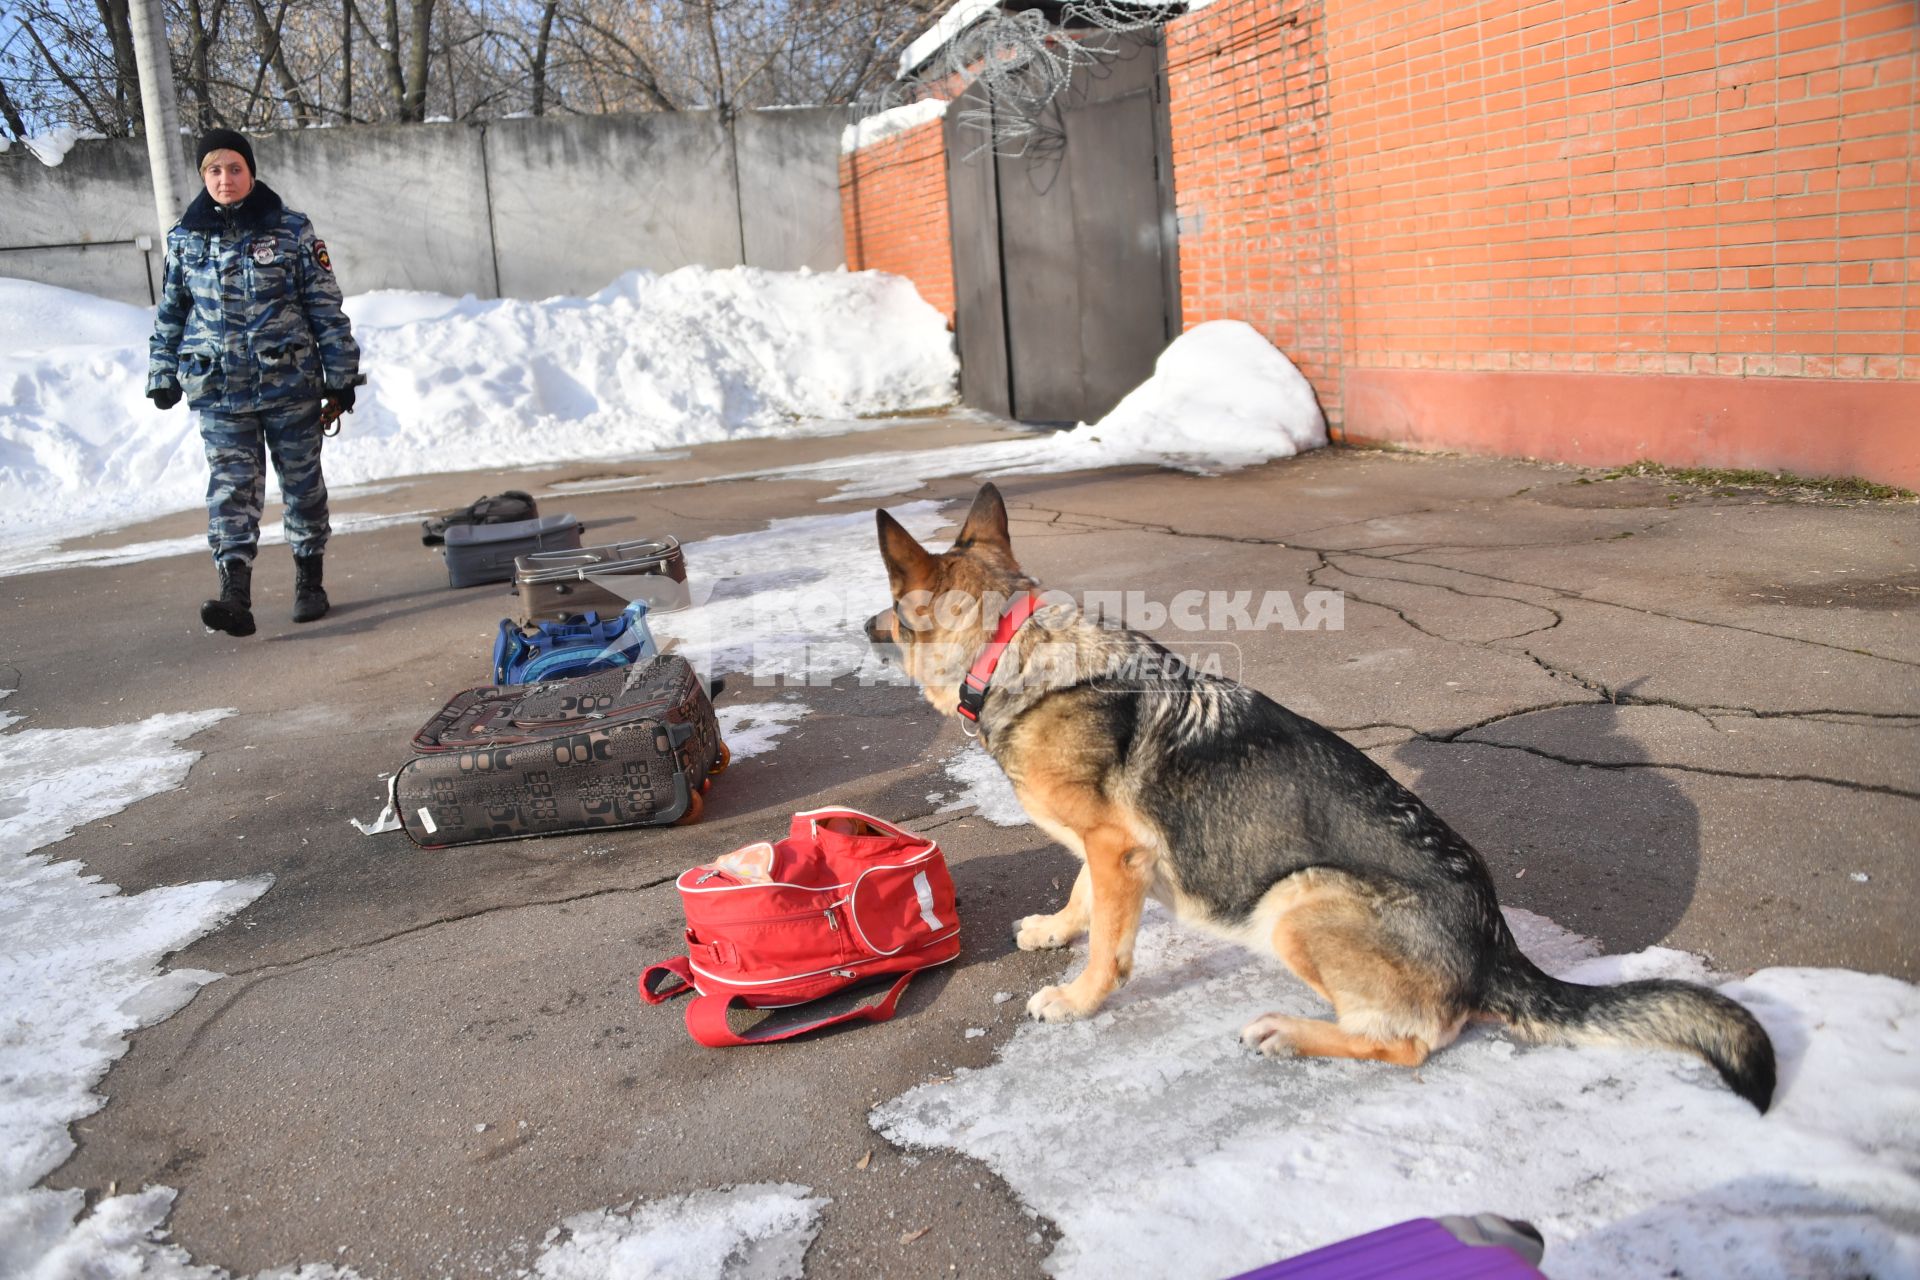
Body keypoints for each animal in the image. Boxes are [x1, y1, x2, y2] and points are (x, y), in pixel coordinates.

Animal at [864, 485, 1774, 1105]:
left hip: (1298, 900)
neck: (1008, 649)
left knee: (1409, 1044)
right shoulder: (1109, 848)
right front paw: (1057, 928)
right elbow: (1083, 895)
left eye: (894, 608)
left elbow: (1112, 950)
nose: (863, 627)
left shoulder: (1119, 850)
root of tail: (1497, 951)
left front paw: (1078, 998)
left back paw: (1289, 1032)